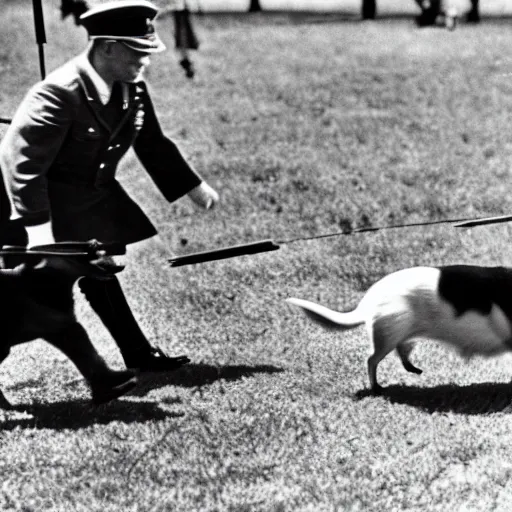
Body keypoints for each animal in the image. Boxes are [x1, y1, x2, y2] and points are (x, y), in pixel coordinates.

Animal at [288, 266, 512, 394]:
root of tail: (366, 304)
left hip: (402, 333)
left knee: (401, 353)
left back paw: (416, 370)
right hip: (388, 333)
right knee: (372, 360)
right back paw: (377, 388)